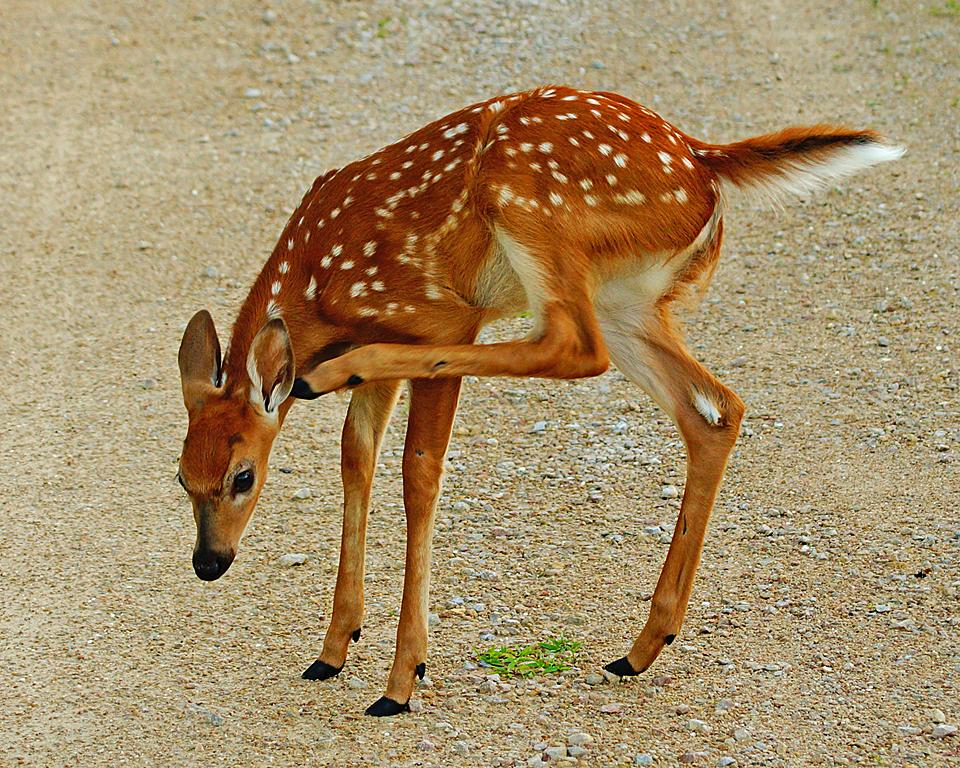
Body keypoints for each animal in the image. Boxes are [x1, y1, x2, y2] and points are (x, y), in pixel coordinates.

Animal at [176, 85, 903, 716]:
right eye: (182, 478)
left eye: (244, 477)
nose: (208, 563)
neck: (319, 285)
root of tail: (702, 160)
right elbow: (356, 460)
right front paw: (333, 649)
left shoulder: (438, 320)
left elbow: (418, 472)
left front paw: (402, 680)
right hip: (627, 299)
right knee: (716, 408)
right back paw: (640, 649)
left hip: (532, 212)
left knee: (573, 348)